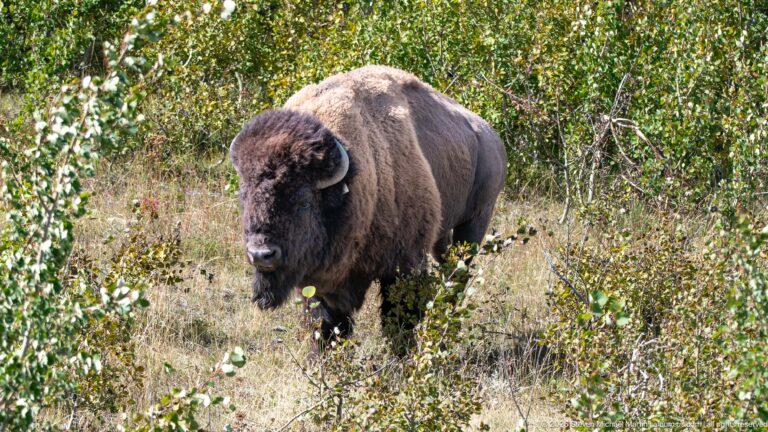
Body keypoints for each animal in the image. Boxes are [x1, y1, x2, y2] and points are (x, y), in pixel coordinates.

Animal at [230, 65, 506, 342]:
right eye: (245, 195)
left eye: (303, 201)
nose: (261, 254)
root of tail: (490, 136)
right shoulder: (321, 283)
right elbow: (326, 325)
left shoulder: (405, 264)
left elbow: (399, 319)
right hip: (442, 231)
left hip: (475, 222)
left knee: (460, 273)